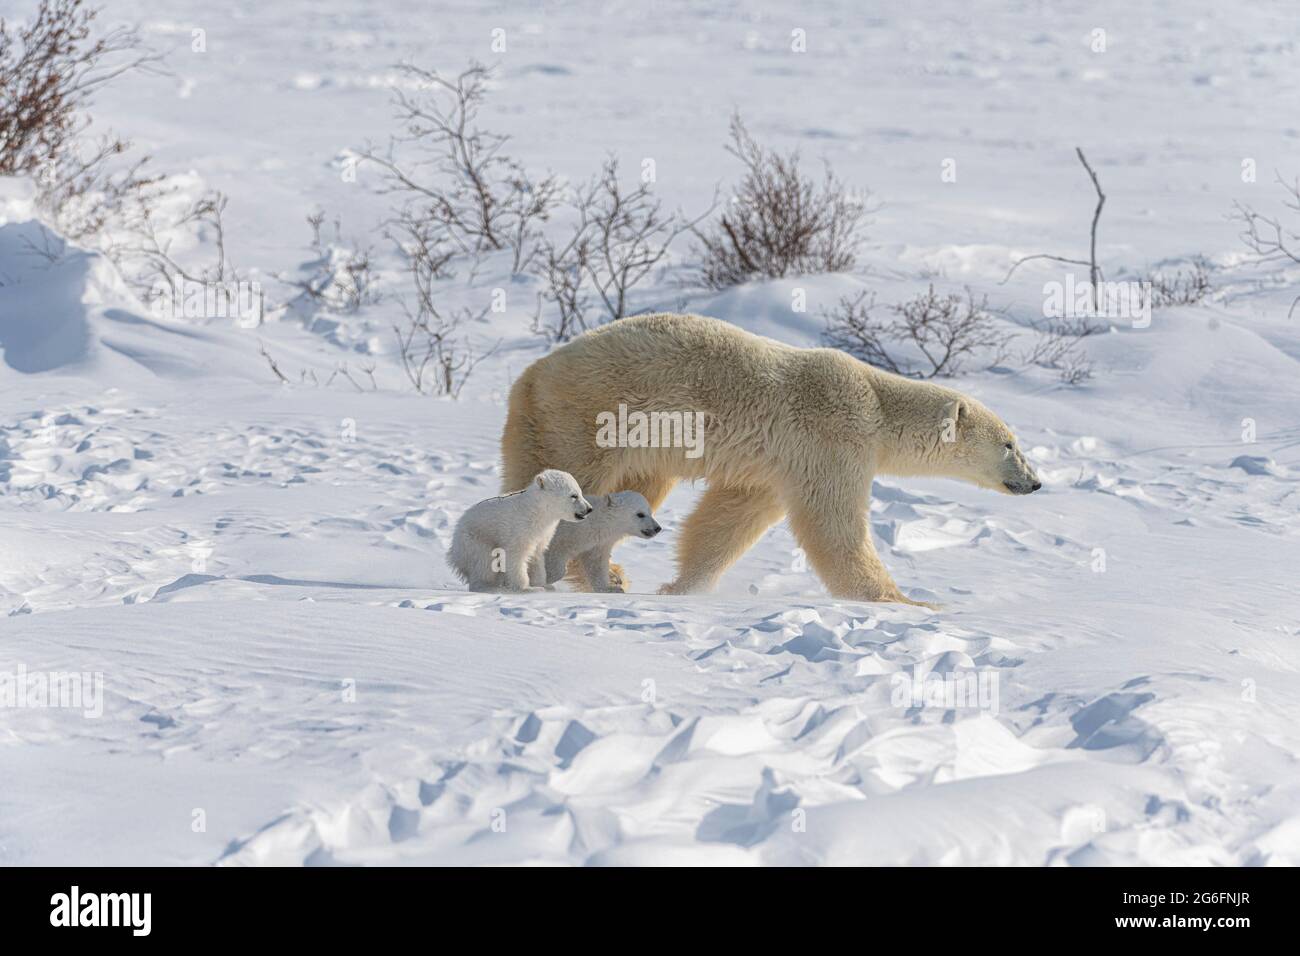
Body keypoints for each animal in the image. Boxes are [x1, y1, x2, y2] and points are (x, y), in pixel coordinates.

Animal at [501, 317, 1040, 608]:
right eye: (1010, 444)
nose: (1034, 483)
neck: (877, 403)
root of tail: (528, 375)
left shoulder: (775, 464)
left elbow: (730, 519)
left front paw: (684, 586)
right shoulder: (831, 437)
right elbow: (833, 524)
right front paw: (911, 601)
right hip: (589, 418)